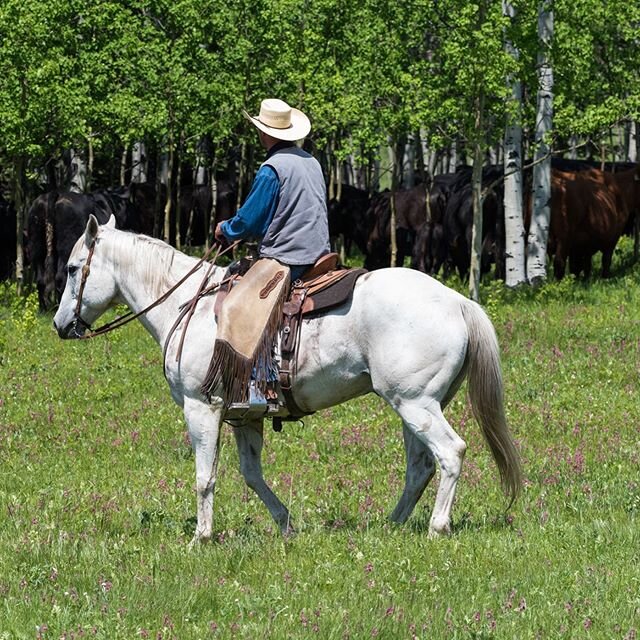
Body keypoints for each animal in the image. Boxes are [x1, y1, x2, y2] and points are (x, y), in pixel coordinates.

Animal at [53, 218, 520, 544]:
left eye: (74, 268)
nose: (60, 325)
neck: (189, 305)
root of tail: (457, 301)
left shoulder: (201, 408)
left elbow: (206, 477)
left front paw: (200, 537)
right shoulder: (244, 417)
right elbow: (251, 474)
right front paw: (286, 524)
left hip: (415, 403)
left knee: (450, 452)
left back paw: (437, 527)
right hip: (415, 406)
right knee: (421, 465)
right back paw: (392, 524)